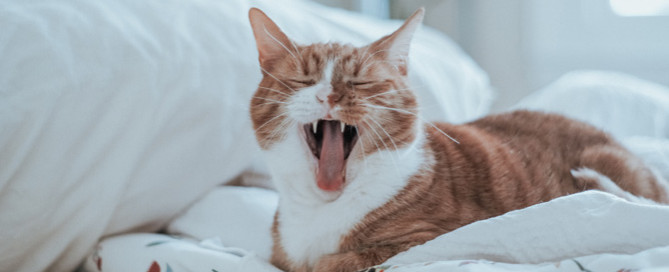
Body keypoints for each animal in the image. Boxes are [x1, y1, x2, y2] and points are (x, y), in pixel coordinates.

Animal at [247, 6, 668, 272]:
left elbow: (333, 262)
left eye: (360, 83)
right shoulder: (279, 255)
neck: (322, 207)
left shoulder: (437, 238)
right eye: (302, 80)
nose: (329, 96)